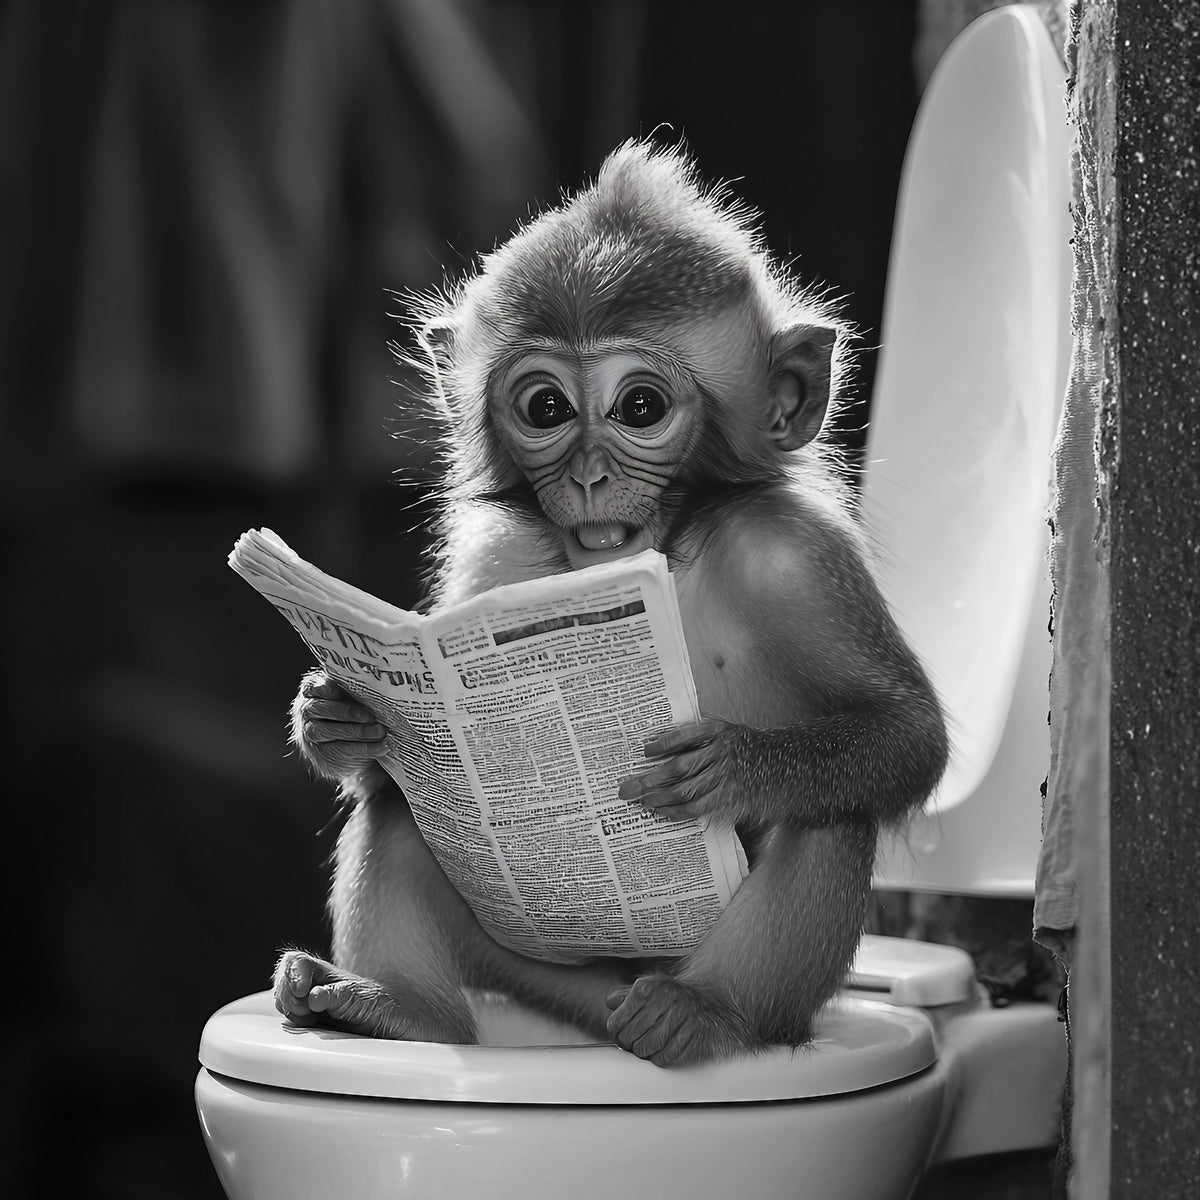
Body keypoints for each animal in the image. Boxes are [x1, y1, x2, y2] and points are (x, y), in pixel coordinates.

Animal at [274, 139, 949, 1067]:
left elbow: (907, 734)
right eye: (546, 407)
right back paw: (399, 1010)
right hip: (542, 965)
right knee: (406, 809)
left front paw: (733, 765)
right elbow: (394, 763)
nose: (590, 476)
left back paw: (705, 1014)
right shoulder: (498, 560)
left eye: (640, 406)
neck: (667, 551)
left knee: (831, 815)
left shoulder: (798, 558)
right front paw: (334, 716)